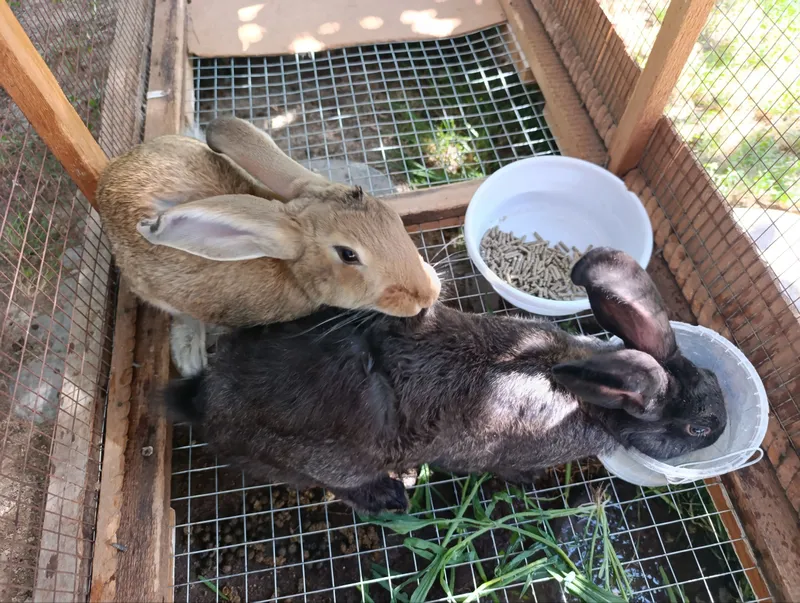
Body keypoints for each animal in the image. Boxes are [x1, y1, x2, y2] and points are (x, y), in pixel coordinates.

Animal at [163, 248, 727, 513]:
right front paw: (537, 488)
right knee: (339, 486)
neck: (585, 395)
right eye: (698, 429)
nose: (722, 429)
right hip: (329, 461)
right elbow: (510, 471)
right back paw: (389, 496)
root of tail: (205, 402)